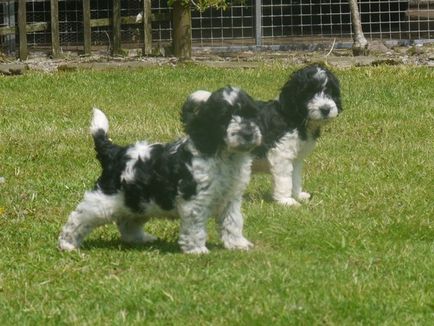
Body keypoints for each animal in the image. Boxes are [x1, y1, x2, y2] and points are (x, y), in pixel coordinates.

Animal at [57, 87, 262, 255]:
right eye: (224, 118)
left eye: (251, 115)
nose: (248, 134)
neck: (223, 154)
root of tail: (115, 152)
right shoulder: (195, 200)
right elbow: (195, 226)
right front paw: (197, 250)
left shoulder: (231, 198)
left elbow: (233, 222)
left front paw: (237, 244)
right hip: (104, 200)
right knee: (79, 217)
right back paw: (67, 244)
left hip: (139, 201)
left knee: (127, 222)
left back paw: (140, 239)